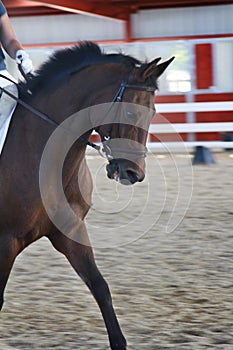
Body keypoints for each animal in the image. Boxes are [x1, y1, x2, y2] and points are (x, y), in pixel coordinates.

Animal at [0, 42, 173, 348]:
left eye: (152, 113)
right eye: (129, 114)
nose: (133, 173)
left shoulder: (71, 231)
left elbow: (100, 287)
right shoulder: (5, 240)